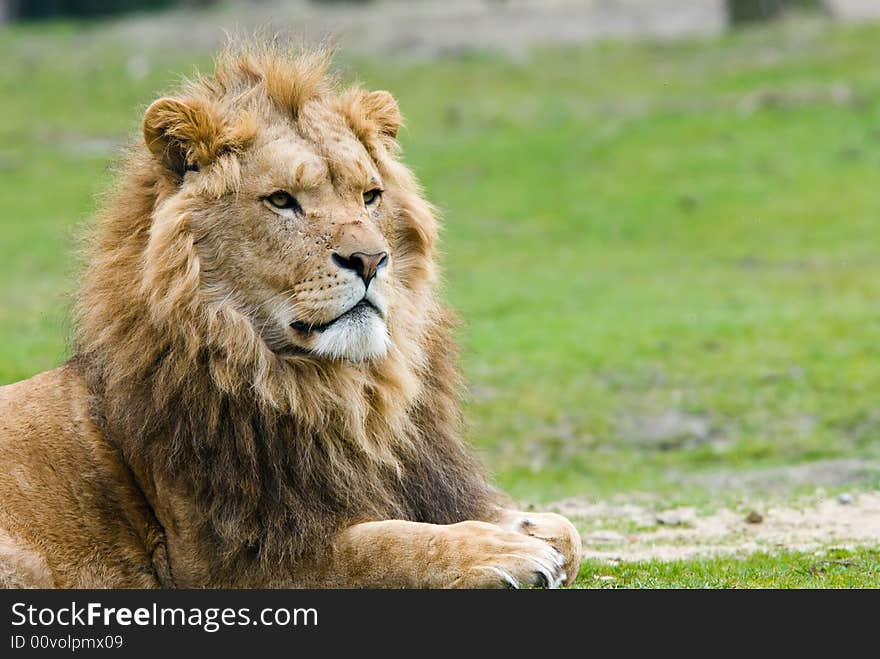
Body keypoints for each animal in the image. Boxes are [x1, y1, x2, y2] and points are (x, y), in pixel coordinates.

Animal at [1, 42, 584, 588]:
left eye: (370, 196)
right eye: (282, 200)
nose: (371, 260)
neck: (343, 394)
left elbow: (567, 531)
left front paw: (527, 530)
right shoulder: (231, 560)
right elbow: (382, 545)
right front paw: (499, 550)